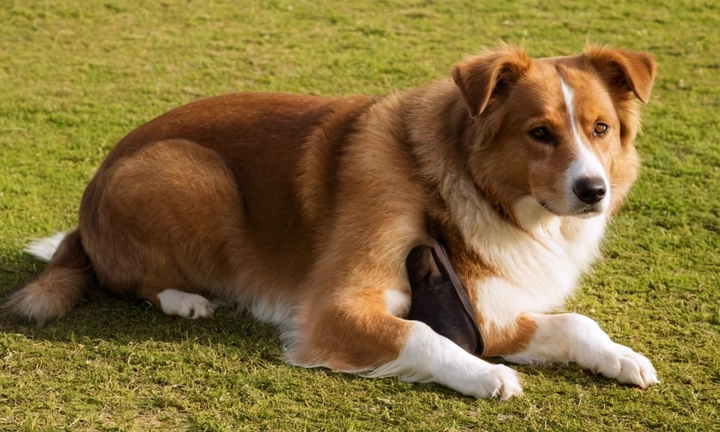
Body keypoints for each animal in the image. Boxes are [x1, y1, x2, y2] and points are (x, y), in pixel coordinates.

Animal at [5, 45, 660, 400]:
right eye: (540, 132)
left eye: (600, 129)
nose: (593, 191)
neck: (451, 183)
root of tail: (90, 201)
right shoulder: (335, 309)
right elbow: (423, 335)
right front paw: (483, 375)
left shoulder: (488, 312)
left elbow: (575, 323)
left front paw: (620, 357)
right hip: (192, 173)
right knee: (125, 278)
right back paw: (182, 299)